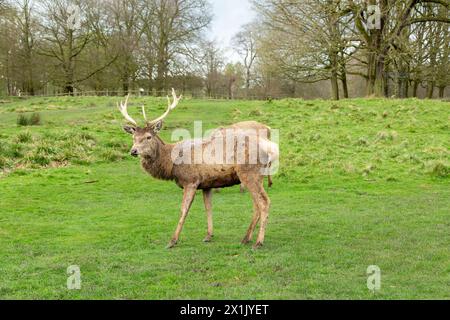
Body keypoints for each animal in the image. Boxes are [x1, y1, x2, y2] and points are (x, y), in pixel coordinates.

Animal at [118, 90, 278, 250]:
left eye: (148, 137)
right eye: (133, 137)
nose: (133, 151)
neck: (171, 164)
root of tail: (269, 148)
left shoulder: (190, 181)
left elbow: (183, 210)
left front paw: (172, 240)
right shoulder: (207, 184)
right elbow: (208, 207)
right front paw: (208, 235)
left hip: (249, 173)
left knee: (264, 202)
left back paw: (258, 242)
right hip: (257, 176)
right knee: (256, 204)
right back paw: (246, 238)